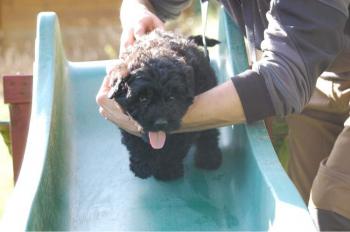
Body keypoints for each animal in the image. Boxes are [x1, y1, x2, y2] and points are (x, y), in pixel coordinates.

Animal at [108, 29, 221, 181]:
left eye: (172, 98)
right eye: (142, 98)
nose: (160, 123)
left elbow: (174, 148)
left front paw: (167, 171)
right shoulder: (125, 121)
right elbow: (135, 144)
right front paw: (142, 166)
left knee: (209, 133)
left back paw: (210, 159)